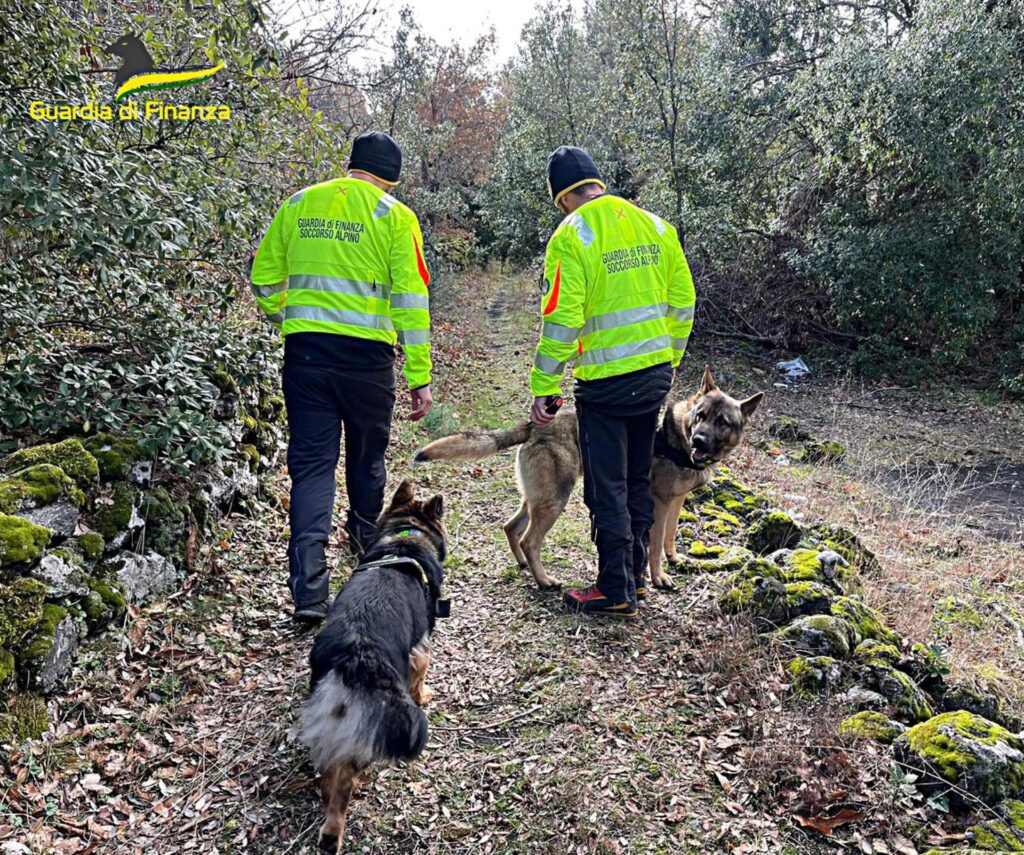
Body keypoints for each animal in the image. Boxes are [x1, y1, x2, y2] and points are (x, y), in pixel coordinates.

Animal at [301, 485, 450, 851]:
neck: (406, 535)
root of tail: (355, 657)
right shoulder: (420, 650)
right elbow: (419, 680)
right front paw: (424, 695)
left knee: (329, 781)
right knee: (342, 782)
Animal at [413, 368, 761, 593]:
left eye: (721, 421)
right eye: (700, 416)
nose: (698, 440)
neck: (679, 439)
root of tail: (534, 425)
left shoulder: (676, 501)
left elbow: (670, 536)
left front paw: (674, 558)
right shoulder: (660, 503)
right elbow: (654, 543)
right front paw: (658, 577)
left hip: (538, 497)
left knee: (511, 528)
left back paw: (524, 565)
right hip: (556, 499)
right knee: (529, 539)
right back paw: (544, 580)